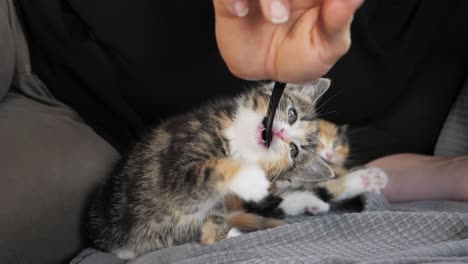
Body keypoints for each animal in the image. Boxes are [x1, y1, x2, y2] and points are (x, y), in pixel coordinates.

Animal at [88, 79, 334, 260]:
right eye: (292, 114)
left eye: (293, 150)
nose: (282, 133)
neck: (237, 141)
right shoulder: (171, 172)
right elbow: (202, 175)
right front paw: (249, 179)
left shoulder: (215, 201)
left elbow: (214, 214)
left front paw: (220, 237)